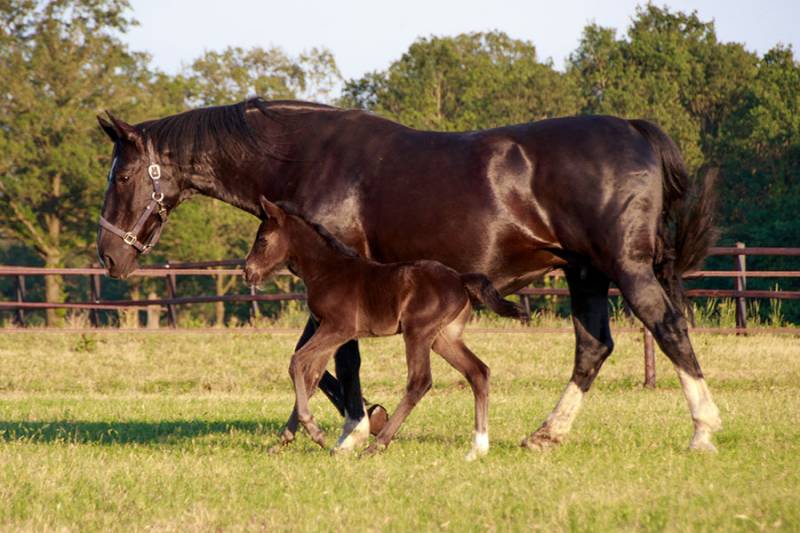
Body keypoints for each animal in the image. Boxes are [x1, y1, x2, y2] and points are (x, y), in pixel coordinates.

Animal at [247, 195, 528, 458]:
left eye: (262, 241)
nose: (248, 272)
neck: (326, 271)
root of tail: (460, 279)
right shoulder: (327, 331)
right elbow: (311, 377)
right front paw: (284, 440)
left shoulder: (338, 328)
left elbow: (296, 362)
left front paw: (314, 432)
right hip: (444, 338)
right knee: (478, 372)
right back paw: (478, 448)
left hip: (418, 333)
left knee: (420, 381)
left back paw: (377, 445)